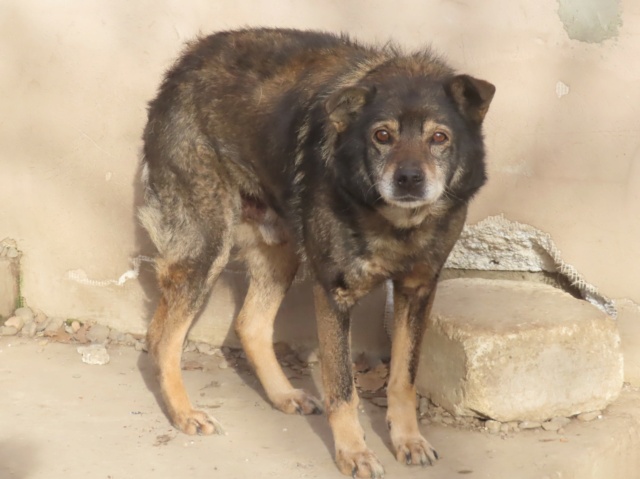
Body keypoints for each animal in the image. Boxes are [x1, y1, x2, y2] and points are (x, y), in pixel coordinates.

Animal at [140, 27, 496, 479]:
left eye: (439, 138)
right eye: (382, 136)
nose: (409, 179)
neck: (394, 221)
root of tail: (187, 59)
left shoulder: (417, 290)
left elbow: (404, 378)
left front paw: (408, 440)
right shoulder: (334, 293)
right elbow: (343, 389)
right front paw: (354, 453)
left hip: (280, 251)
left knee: (249, 324)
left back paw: (283, 395)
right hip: (206, 249)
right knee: (163, 338)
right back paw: (185, 413)